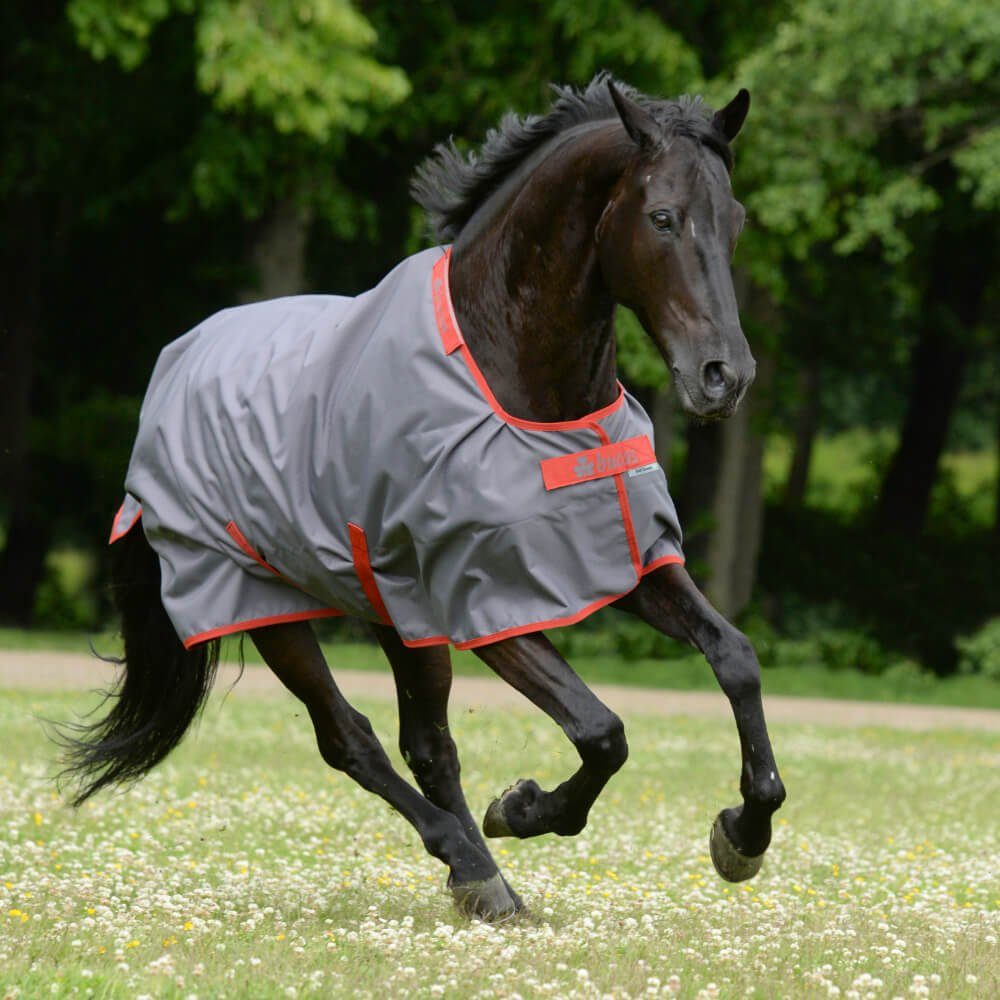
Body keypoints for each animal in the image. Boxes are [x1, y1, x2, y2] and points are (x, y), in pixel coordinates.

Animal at [63, 75, 785, 921]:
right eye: (662, 216)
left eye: (734, 219)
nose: (724, 376)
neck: (526, 394)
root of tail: (180, 362)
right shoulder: (488, 607)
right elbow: (603, 730)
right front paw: (524, 808)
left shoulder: (625, 564)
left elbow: (735, 658)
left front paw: (744, 832)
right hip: (267, 606)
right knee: (351, 739)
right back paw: (472, 860)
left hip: (397, 615)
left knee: (427, 746)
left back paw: (486, 882)